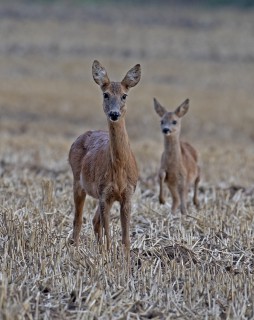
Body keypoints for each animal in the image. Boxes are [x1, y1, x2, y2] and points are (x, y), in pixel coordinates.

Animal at [68, 60, 141, 258]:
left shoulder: (127, 194)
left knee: (94, 221)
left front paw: (125, 259)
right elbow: (109, 234)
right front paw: (108, 255)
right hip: (78, 182)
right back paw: (75, 249)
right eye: (105, 94)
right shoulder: (104, 194)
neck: (119, 170)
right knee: (78, 220)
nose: (114, 114)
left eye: (124, 95)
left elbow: (126, 238)